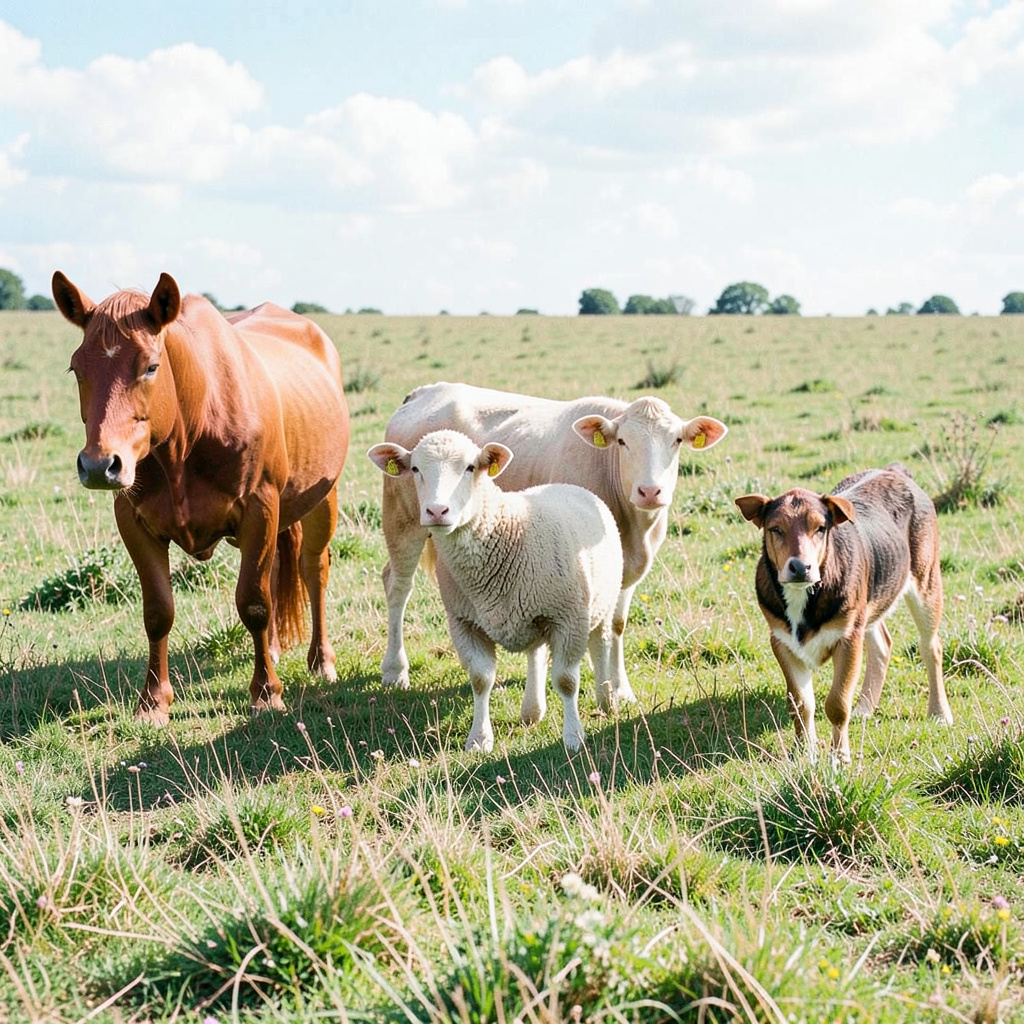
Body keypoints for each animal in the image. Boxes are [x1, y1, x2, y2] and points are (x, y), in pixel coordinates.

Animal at [52, 271, 350, 725]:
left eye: (151, 367)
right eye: (76, 368)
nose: (100, 465)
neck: (187, 434)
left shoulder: (260, 509)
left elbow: (254, 603)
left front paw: (266, 692)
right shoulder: (134, 522)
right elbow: (158, 611)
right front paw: (153, 700)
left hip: (322, 498)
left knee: (312, 568)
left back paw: (321, 660)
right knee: (276, 569)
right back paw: (274, 649)